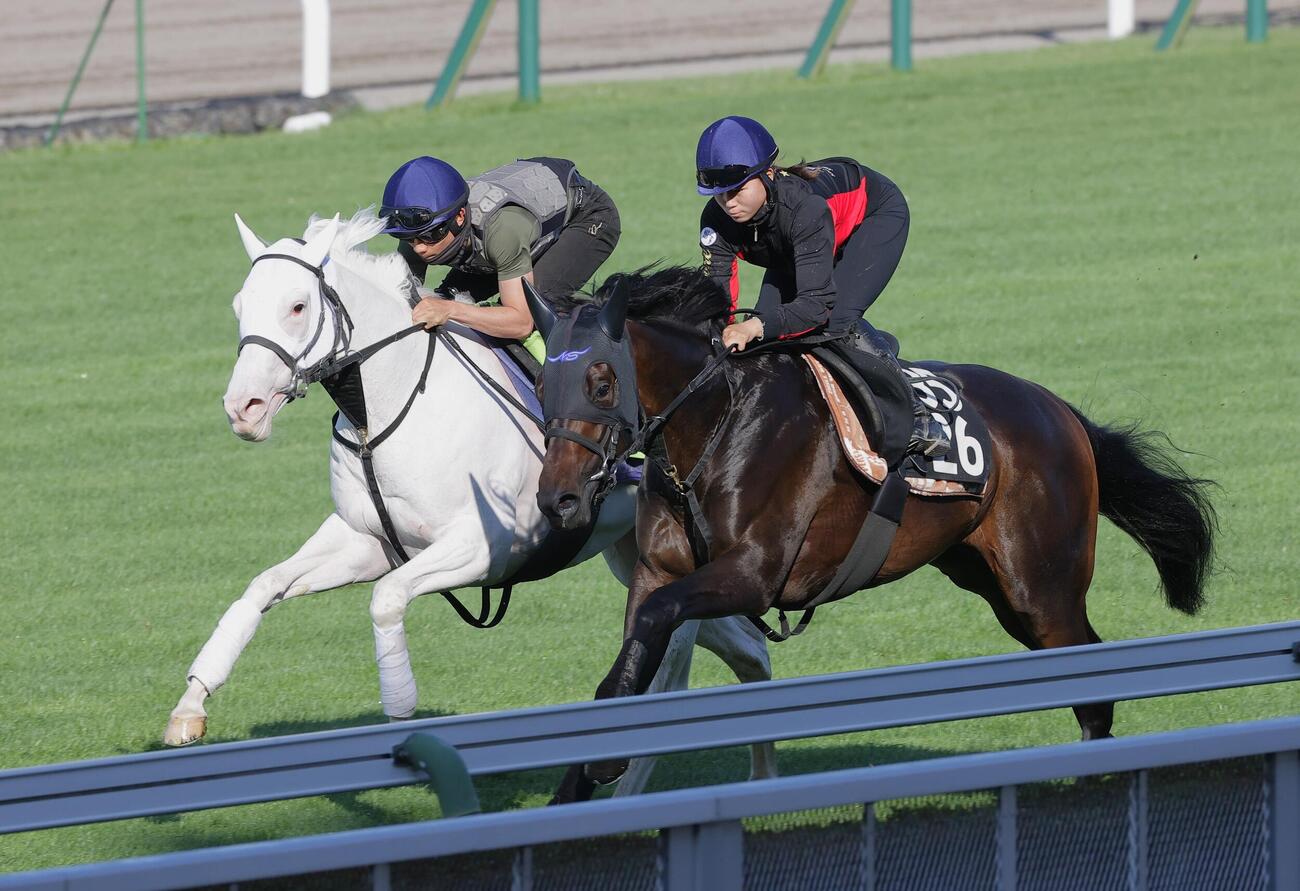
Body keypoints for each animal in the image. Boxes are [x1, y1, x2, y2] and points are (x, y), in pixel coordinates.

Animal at [163, 214, 777, 792]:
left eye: (296, 306)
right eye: (240, 305)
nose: (243, 408)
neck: (387, 407)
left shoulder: (484, 549)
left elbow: (387, 600)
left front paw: (401, 715)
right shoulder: (367, 541)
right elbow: (261, 587)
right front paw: (190, 707)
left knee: (677, 664)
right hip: (639, 558)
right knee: (747, 650)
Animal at [526, 266, 1217, 803]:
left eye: (601, 382)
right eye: (538, 384)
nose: (559, 501)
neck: (717, 421)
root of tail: (1061, 413)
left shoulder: (752, 573)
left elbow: (659, 621)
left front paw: (606, 763)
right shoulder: (657, 570)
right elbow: (632, 652)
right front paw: (578, 781)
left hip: (1041, 588)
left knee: (1090, 679)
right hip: (994, 584)